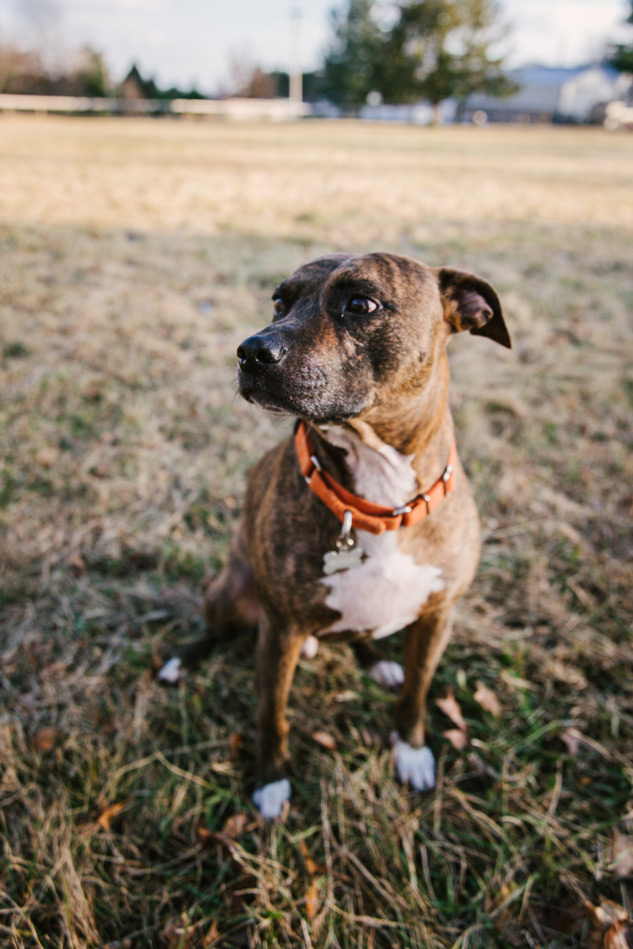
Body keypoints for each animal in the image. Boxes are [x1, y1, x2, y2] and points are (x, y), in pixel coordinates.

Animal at [159, 252, 511, 818]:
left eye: (361, 304)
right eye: (279, 301)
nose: (250, 350)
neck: (381, 501)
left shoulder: (438, 617)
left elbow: (416, 692)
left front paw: (411, 751)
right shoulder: (278, 632)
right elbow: (271, 713)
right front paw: (271, 781)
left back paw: (378, 662)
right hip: (232, 593)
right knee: (216, 628)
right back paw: (182, 660)